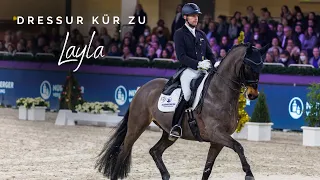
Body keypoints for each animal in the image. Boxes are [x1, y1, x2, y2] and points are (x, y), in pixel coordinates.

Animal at [95, 42, 270, 180]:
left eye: (261, 66)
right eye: (249, 66)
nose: (253, 95)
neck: (218, 93)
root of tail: (143, 88)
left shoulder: (218, 141)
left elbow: (207, 169)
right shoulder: (215, 133)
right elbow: (238, 146)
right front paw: (249, 174)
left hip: (168, 132)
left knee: (155, 151)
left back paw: (166, 175)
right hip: (136, 126)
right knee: (123, 151)